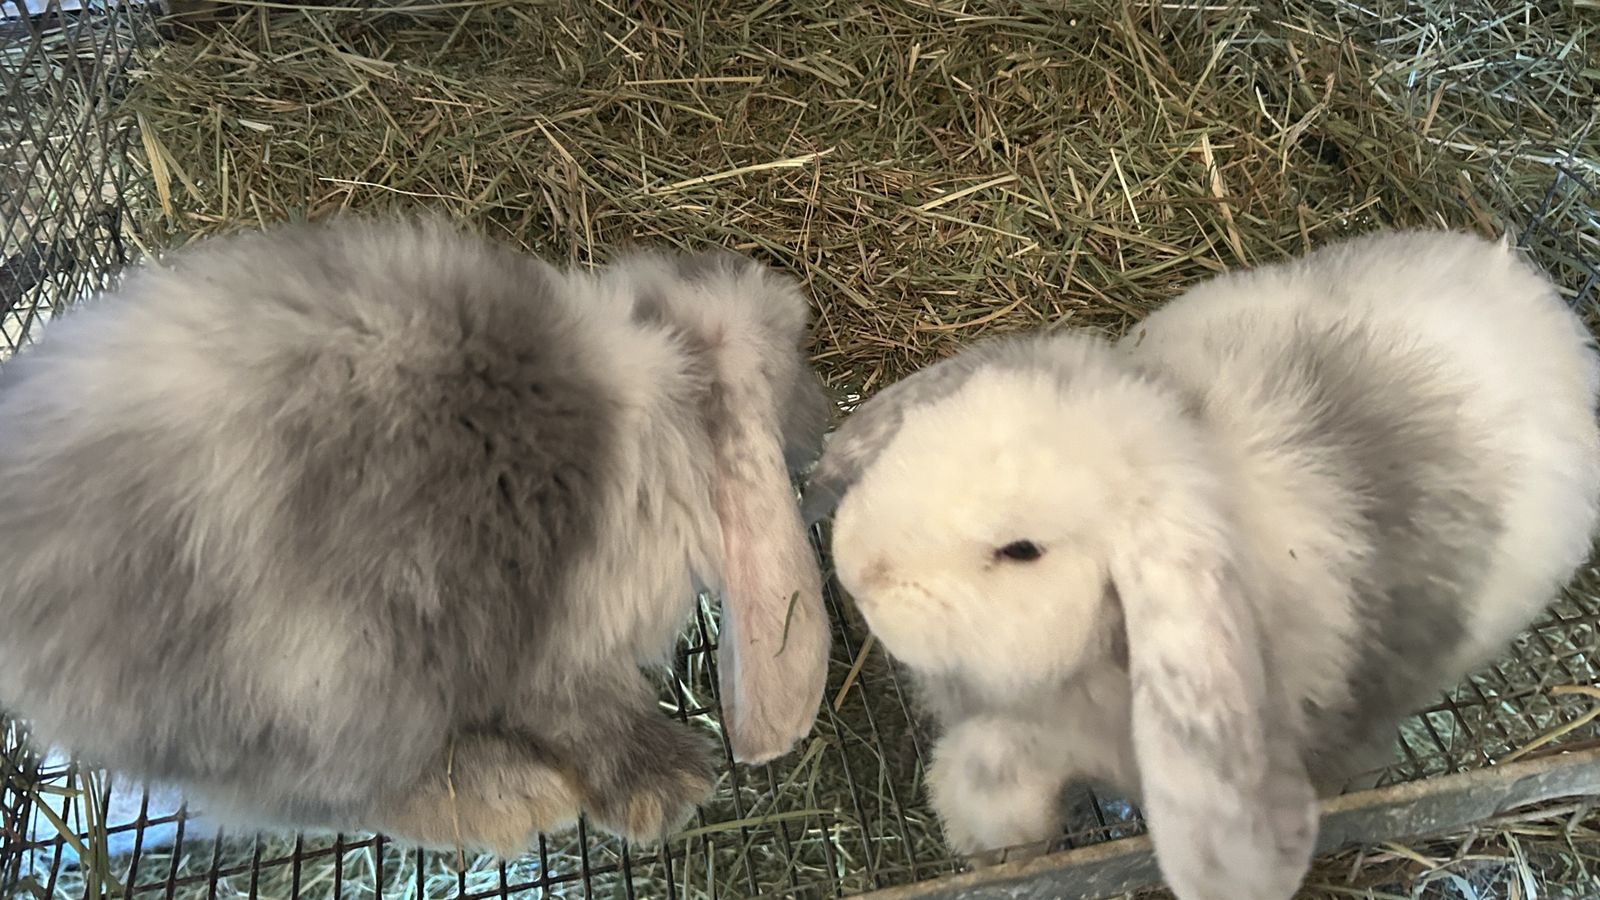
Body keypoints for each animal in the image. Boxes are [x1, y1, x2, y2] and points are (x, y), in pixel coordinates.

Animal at [0, 215, 833, 858]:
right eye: (787, 346)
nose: (790, 292)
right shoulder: (558, 640)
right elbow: (585, 711)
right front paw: (667, 787)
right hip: (330, 696)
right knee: (321, 800)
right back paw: (515, 799)